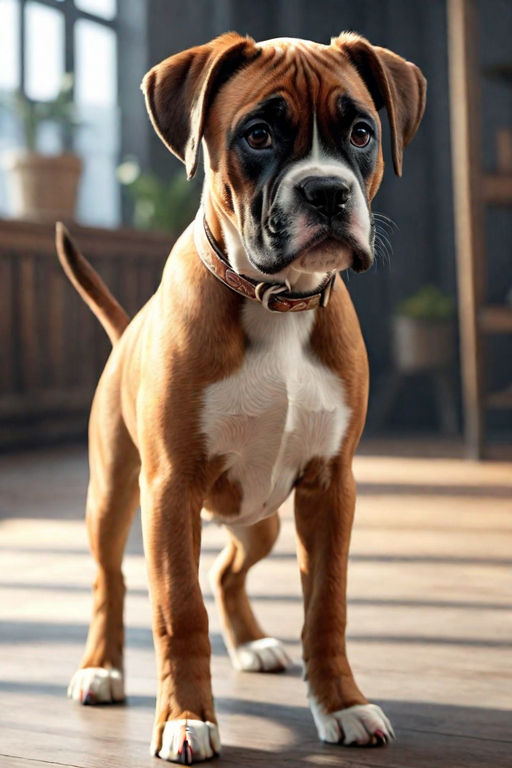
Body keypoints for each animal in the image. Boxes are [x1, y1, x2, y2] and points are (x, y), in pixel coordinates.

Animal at [56, 30, 426, 760]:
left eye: (362, 133)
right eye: (257, 135)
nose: (326, 191)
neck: (278, 300)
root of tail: (126, 330)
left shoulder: (330, 488)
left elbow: (327, 606)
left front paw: (341, 703)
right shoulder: (170, 491)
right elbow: (179, 610)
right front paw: (184, 717)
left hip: (261, 518)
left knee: (229, 569)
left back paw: (252, 643)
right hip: (114, 495)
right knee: (111, 579)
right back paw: (102, 668)